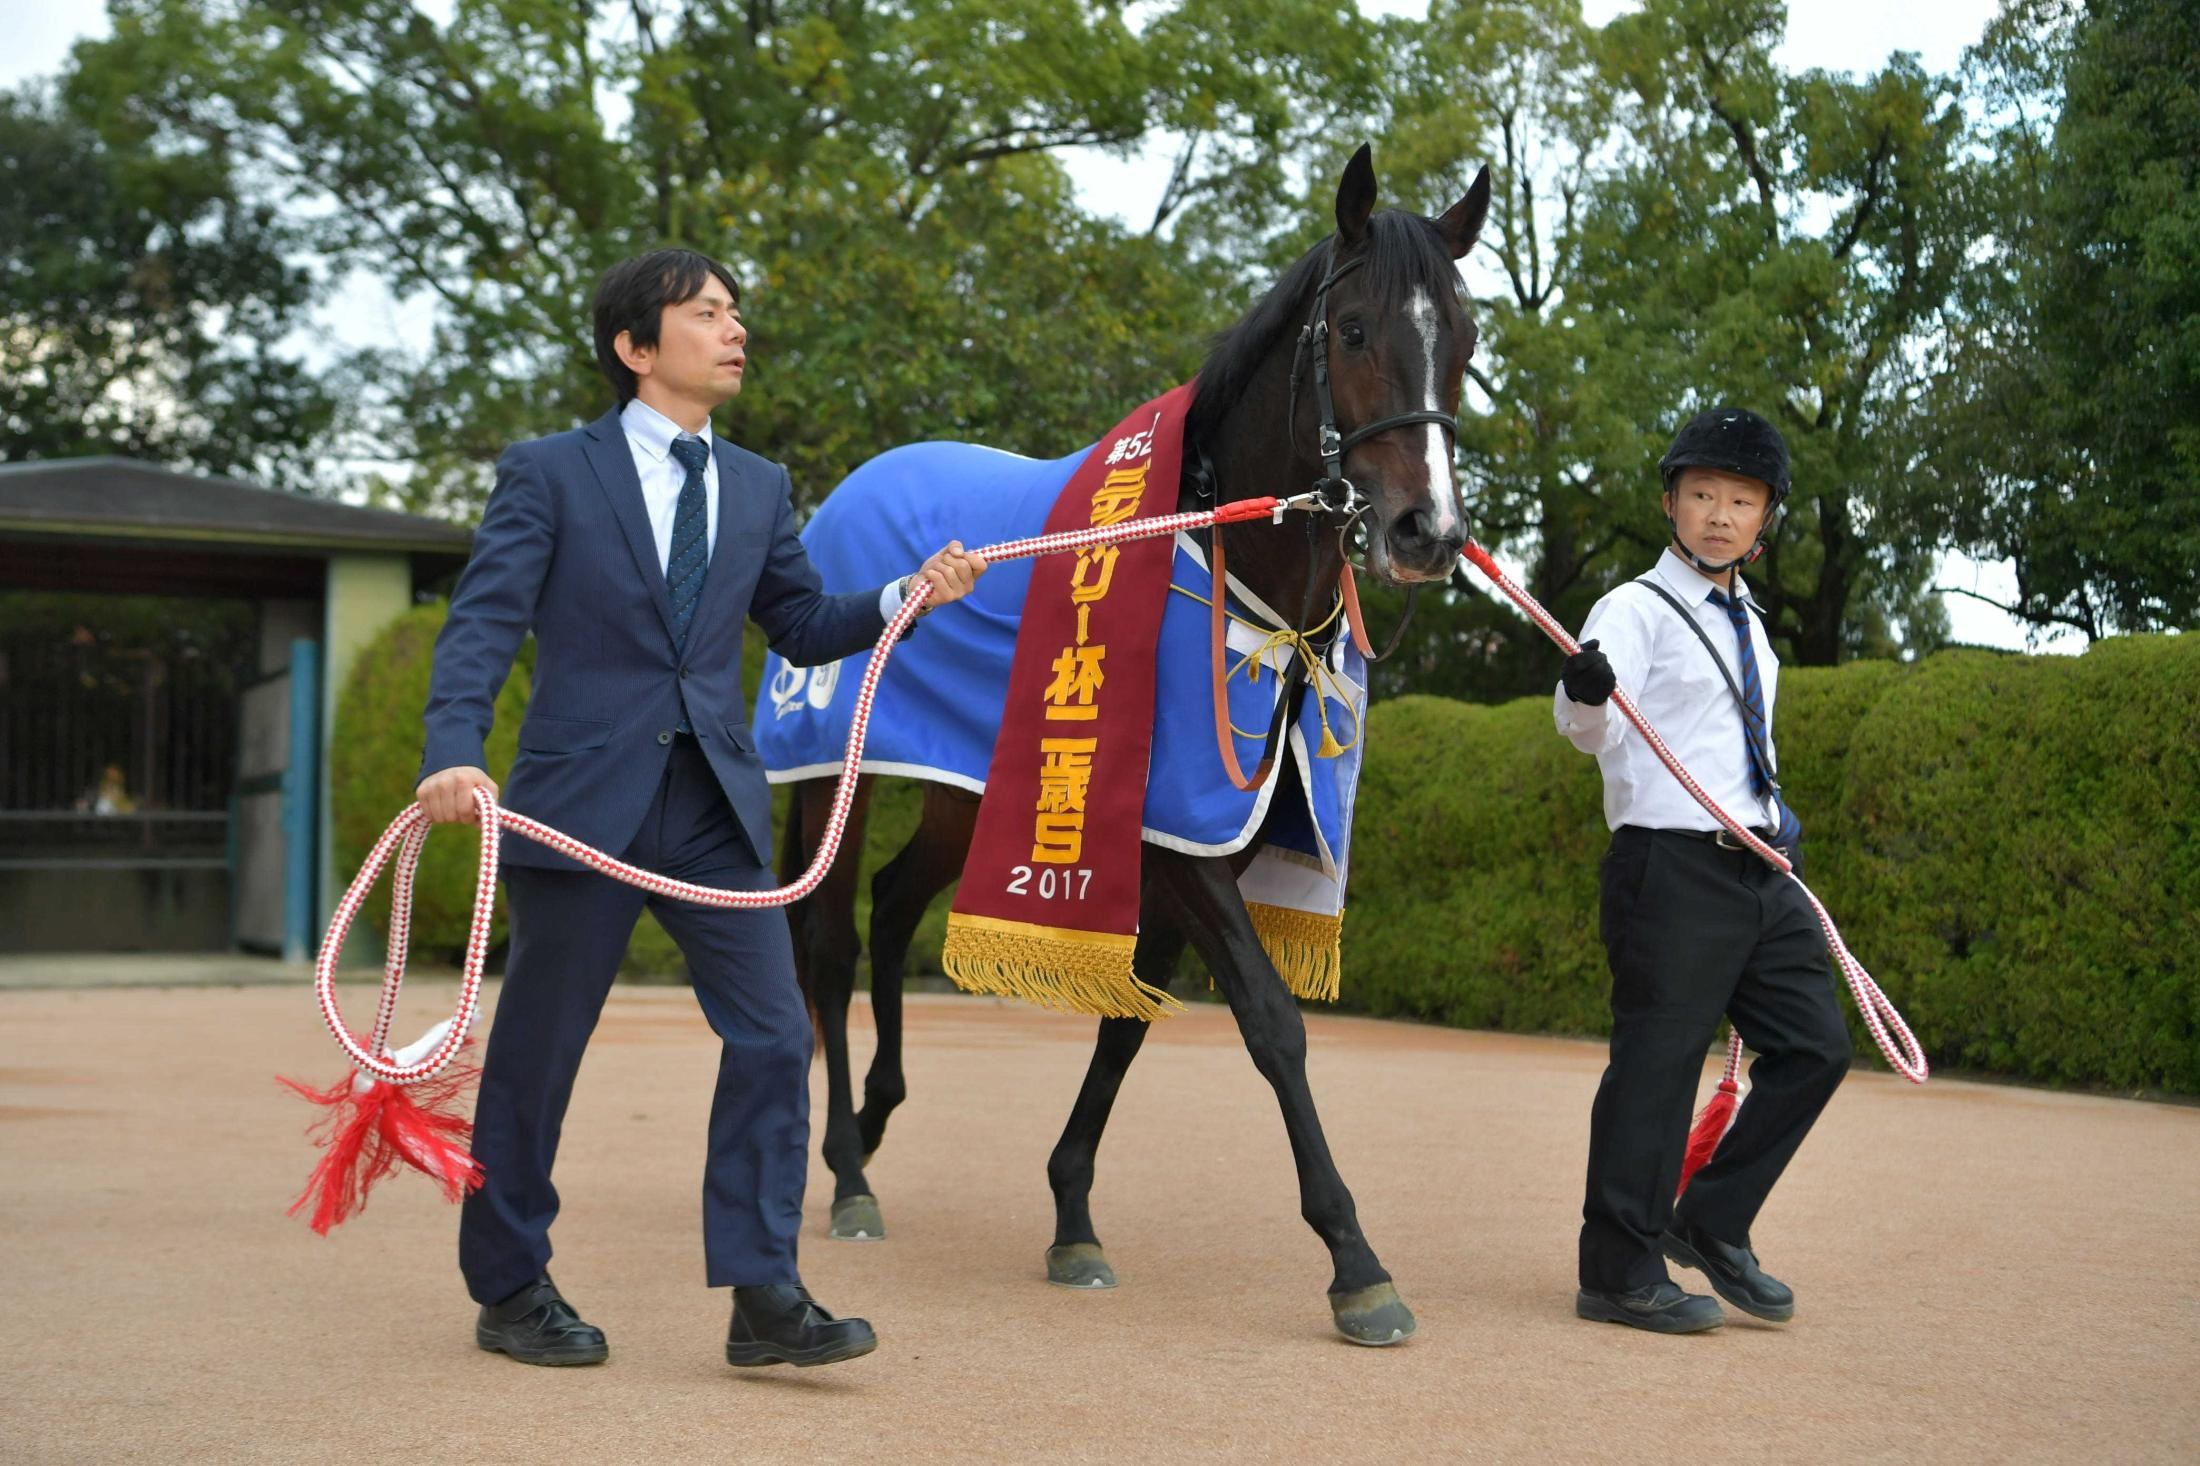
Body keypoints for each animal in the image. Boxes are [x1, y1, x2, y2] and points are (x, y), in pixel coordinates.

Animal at [783, 145, 1487, 1338]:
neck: (1221, 564)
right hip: (835, 769)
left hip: (965, 792)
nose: (1425, 532)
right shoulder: (1181, 847)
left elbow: (1128, 1025)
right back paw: (844, 1170)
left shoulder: (1201, 848)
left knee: (892, 902)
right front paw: (1355, 1258)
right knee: (827, 941)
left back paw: (875, 1119)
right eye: (1352, 332)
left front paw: (1071, 1216)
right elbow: (1271, 1025)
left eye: (1468, 336)